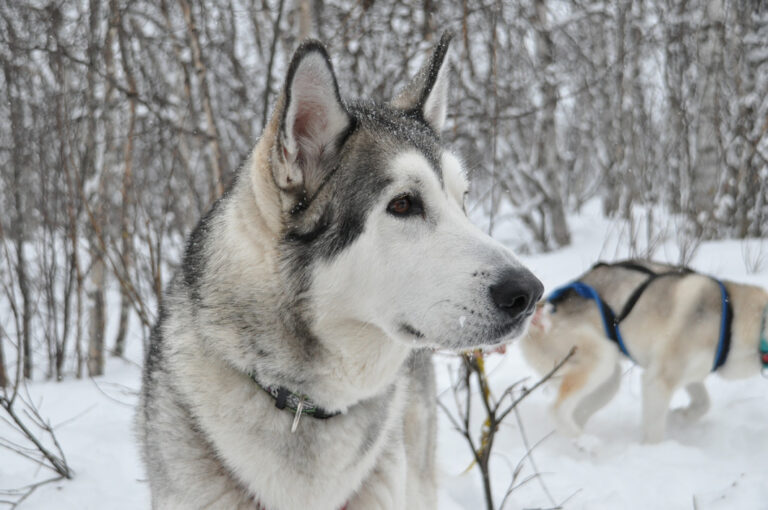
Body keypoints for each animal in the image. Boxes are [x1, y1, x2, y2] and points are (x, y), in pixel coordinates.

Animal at [520, 258, 768, 442]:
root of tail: (541, 309)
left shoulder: (691, 373)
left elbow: (703, 403)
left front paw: (680, 417)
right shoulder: (658, 380)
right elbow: (655, 431)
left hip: (608, 382)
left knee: (575, 411)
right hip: (599, 359)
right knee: (556, 410)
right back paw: (586, 444)